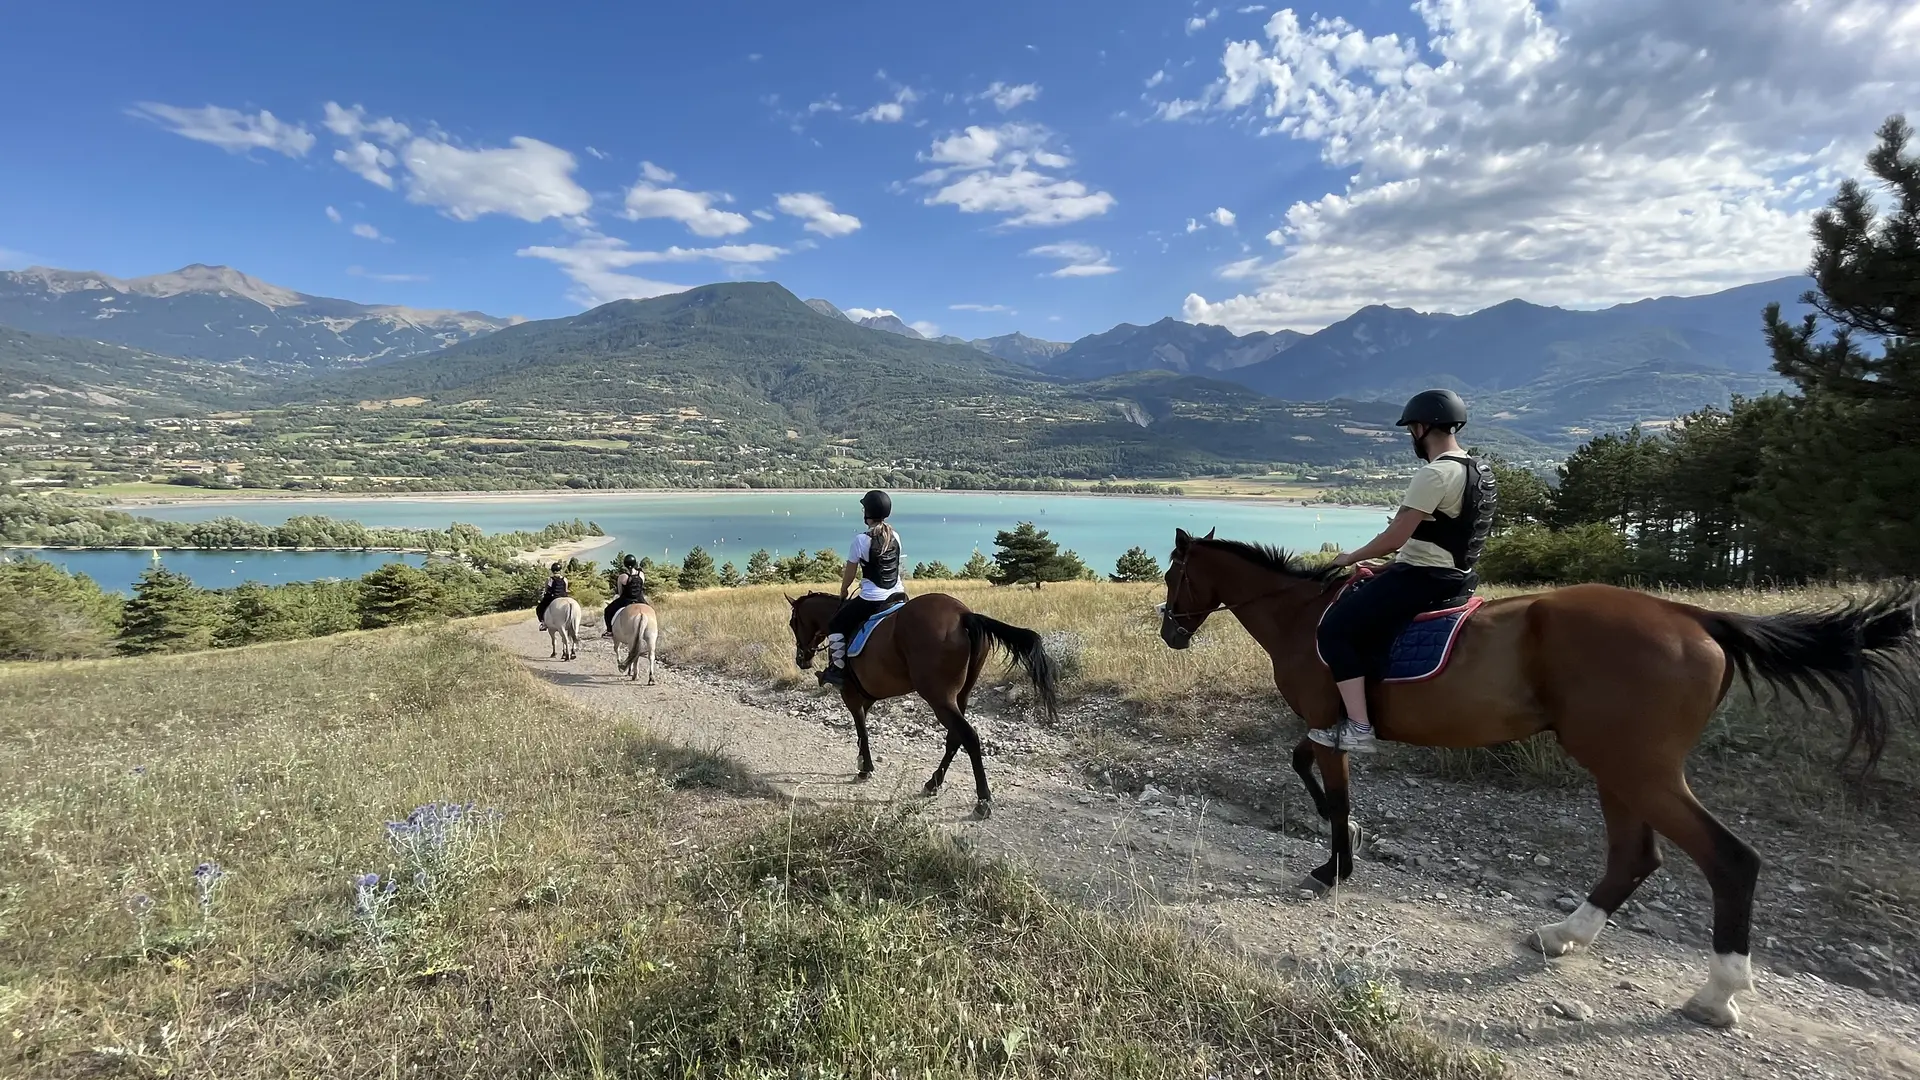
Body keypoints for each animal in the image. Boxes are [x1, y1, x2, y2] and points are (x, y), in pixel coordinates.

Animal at [791, 588, 1067, 814]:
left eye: (793, 623)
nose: (801, 659)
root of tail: (963, 615)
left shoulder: (850, 695)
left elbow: (862, 730)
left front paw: (865, 768)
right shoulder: (866, 697)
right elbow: (863, 729)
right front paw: (863, 763)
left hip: (939, 698)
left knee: (969, 737)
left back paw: (982, 800)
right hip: (959, 697)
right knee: (955, 737)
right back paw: (934, 782)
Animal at [1152, 526, 1920, 1022]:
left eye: (1173, 574)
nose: (1170, 632)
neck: (1303, 615)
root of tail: (1694, 618)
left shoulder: (1329, 721)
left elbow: (1333, 796)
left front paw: (1335, 867)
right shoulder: (1321, 726)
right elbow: (1303, 767)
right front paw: (1345, 850)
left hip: (1636, 765)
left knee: (1729, 859)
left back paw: (1718, 992)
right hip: (1620, 766)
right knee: (1636, 856)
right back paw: (1565, 935)